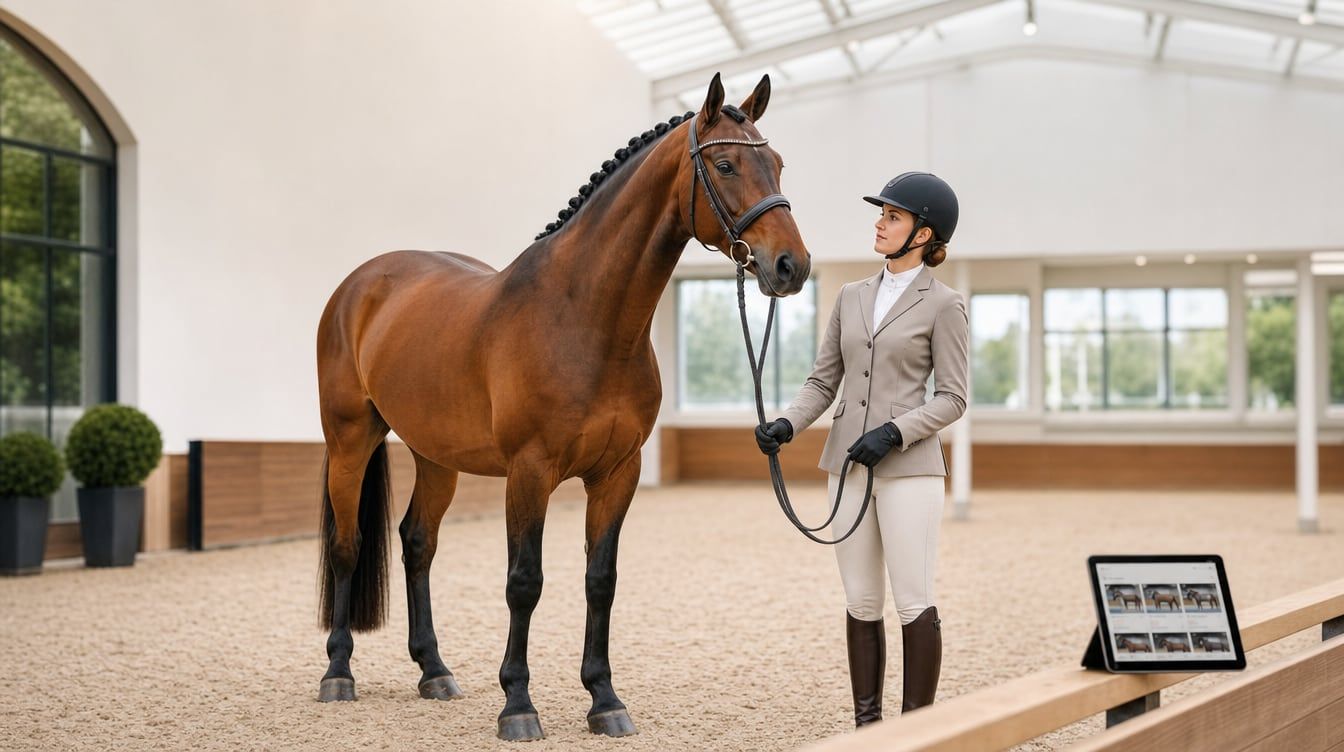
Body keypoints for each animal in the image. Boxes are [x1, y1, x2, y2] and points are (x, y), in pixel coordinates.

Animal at [313, 73, 810, 742]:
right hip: (350, 439)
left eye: (777, 163)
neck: (584, 318)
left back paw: (434, 671)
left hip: (435, 455)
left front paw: (604, 699)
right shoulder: (529, 472)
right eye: (726, 164)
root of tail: (360, 285)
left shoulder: (618, 473)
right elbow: (525, 582)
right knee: (347, 544)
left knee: (417, 543)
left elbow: (601, 581)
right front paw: (518, 705)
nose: (791, 266)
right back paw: (338, 673)